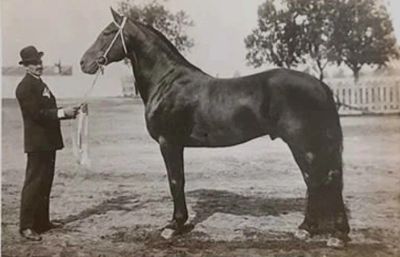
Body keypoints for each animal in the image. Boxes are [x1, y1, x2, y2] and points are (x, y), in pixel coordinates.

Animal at [81, 7, 350, 244]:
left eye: (107, 32)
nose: (84, 62)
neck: (167, 81)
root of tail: (321, 86)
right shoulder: (176, 144)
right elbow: (179, 180)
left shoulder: (169, 143)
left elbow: (175, 181)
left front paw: (174, 226)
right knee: (324, 180)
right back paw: (323, 230)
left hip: (304, 145)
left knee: (318, 180)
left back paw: (319, 231)